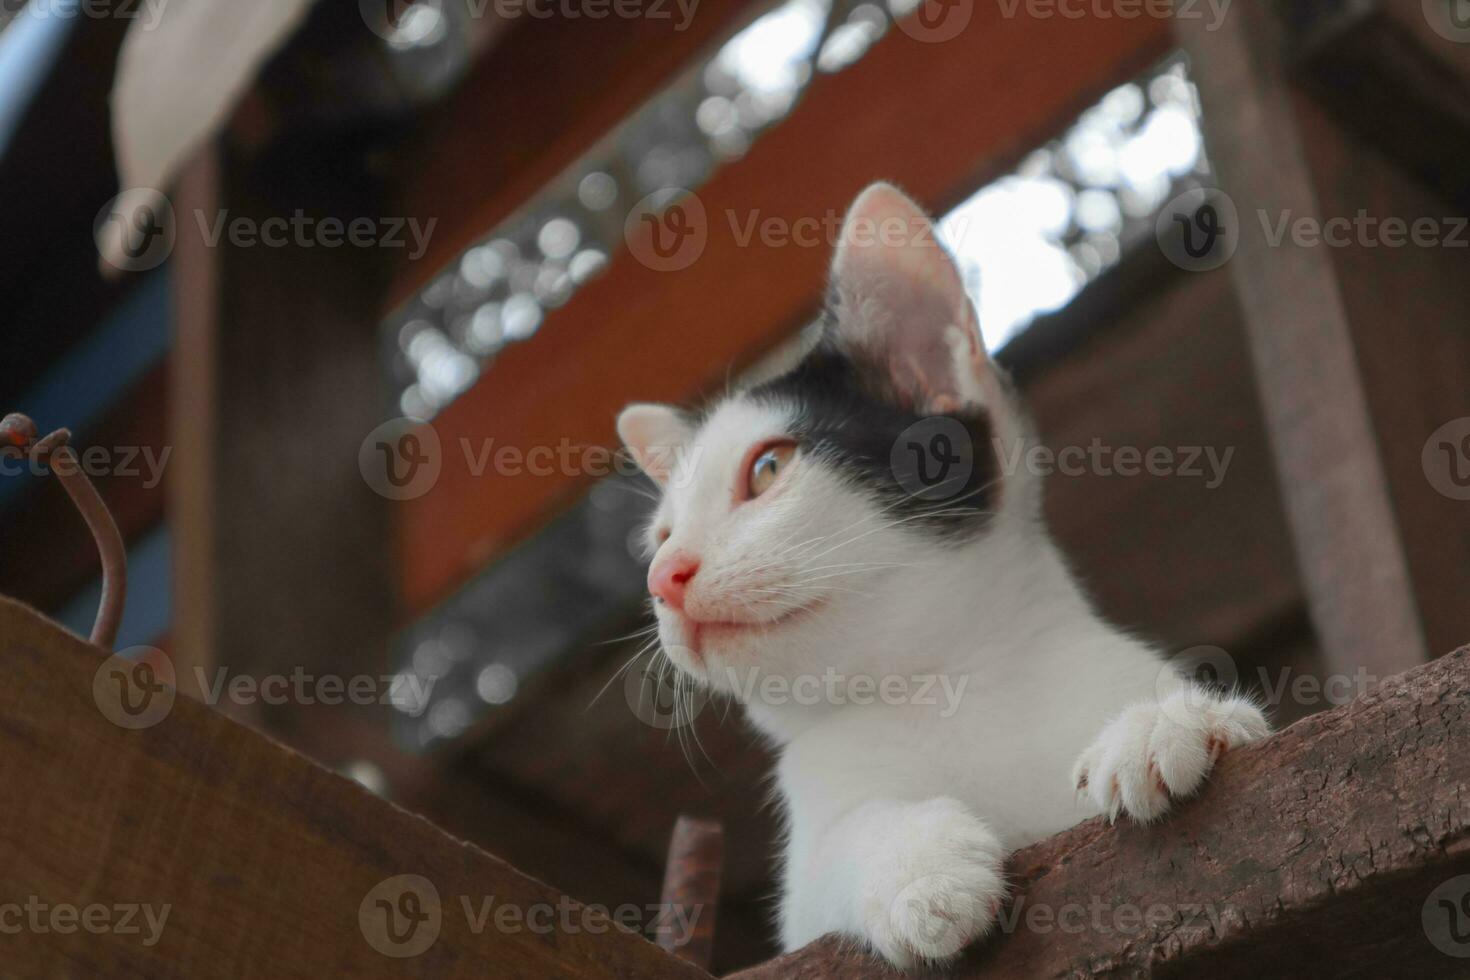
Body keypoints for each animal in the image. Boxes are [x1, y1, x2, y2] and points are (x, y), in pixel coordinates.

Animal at [614, 179, 1270, 969]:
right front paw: (917, 869)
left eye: (767, 468)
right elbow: (837, 848)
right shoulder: (805, 899)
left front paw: (1172, 722)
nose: (665, 576)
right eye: (660, 537)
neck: (941, 687)